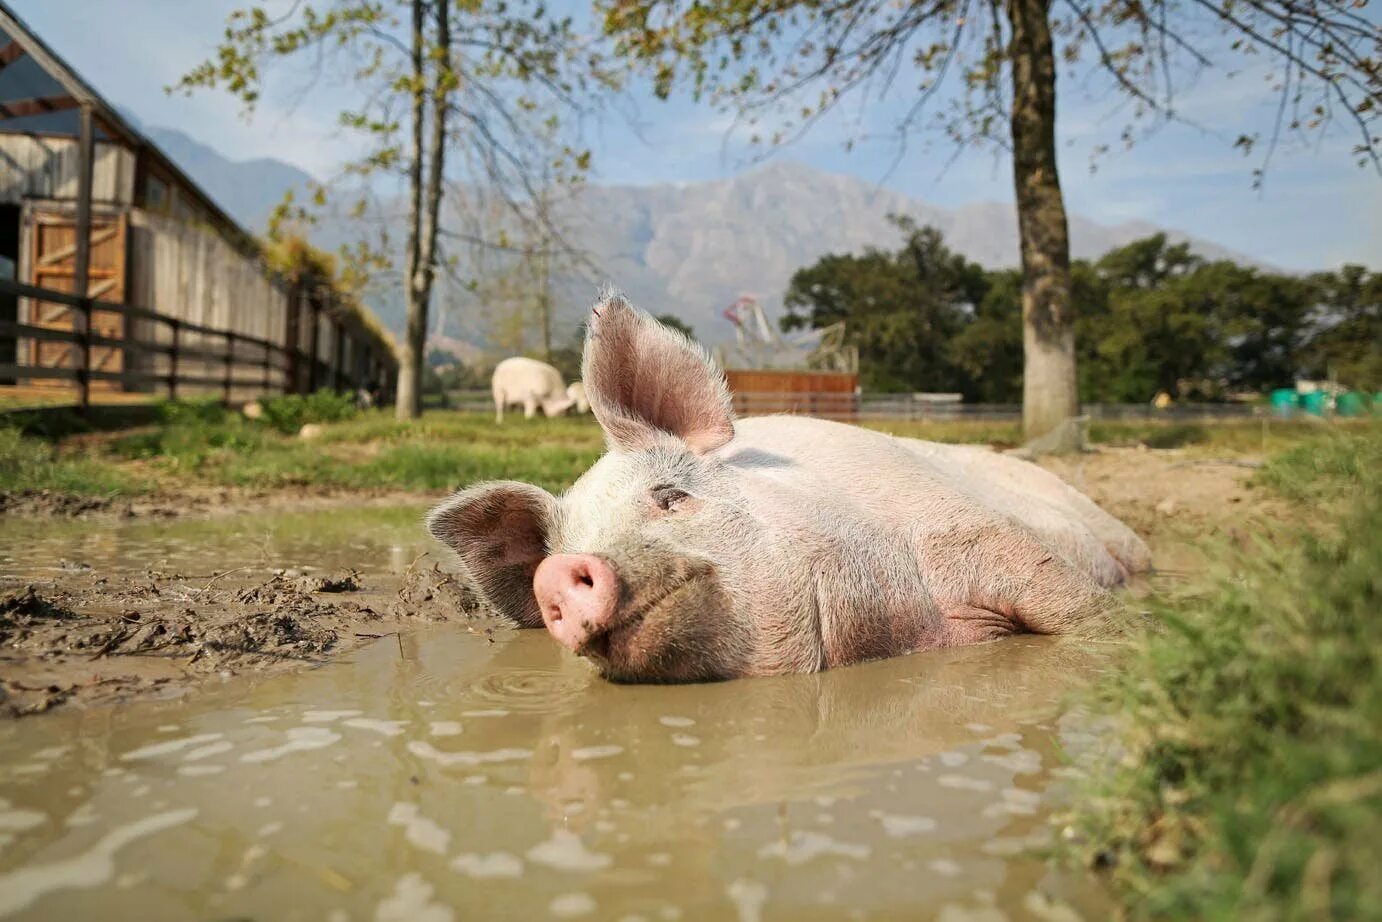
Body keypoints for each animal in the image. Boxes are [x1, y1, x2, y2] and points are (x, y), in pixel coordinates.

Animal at [428, 295, 1144, 685]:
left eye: (670, 496)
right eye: (562, 548)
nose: (560, 571)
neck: (879, 637)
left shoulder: (968, 529)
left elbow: (1071, 606)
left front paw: (1131, 635)